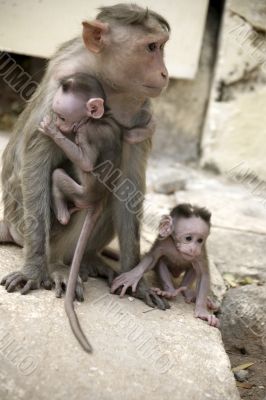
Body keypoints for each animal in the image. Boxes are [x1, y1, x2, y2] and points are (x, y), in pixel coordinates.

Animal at [0, 3, 169, 310]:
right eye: (151, 47)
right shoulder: (59, 91)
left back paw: (89, 260)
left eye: (161, 46)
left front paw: (134, 277)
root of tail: (10, 226)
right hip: (29, 226)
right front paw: (33, 269)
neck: (105, 81)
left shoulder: (141, 108)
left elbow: (128, 179)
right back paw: (56, 265)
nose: (164, 73)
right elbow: (36, 164)